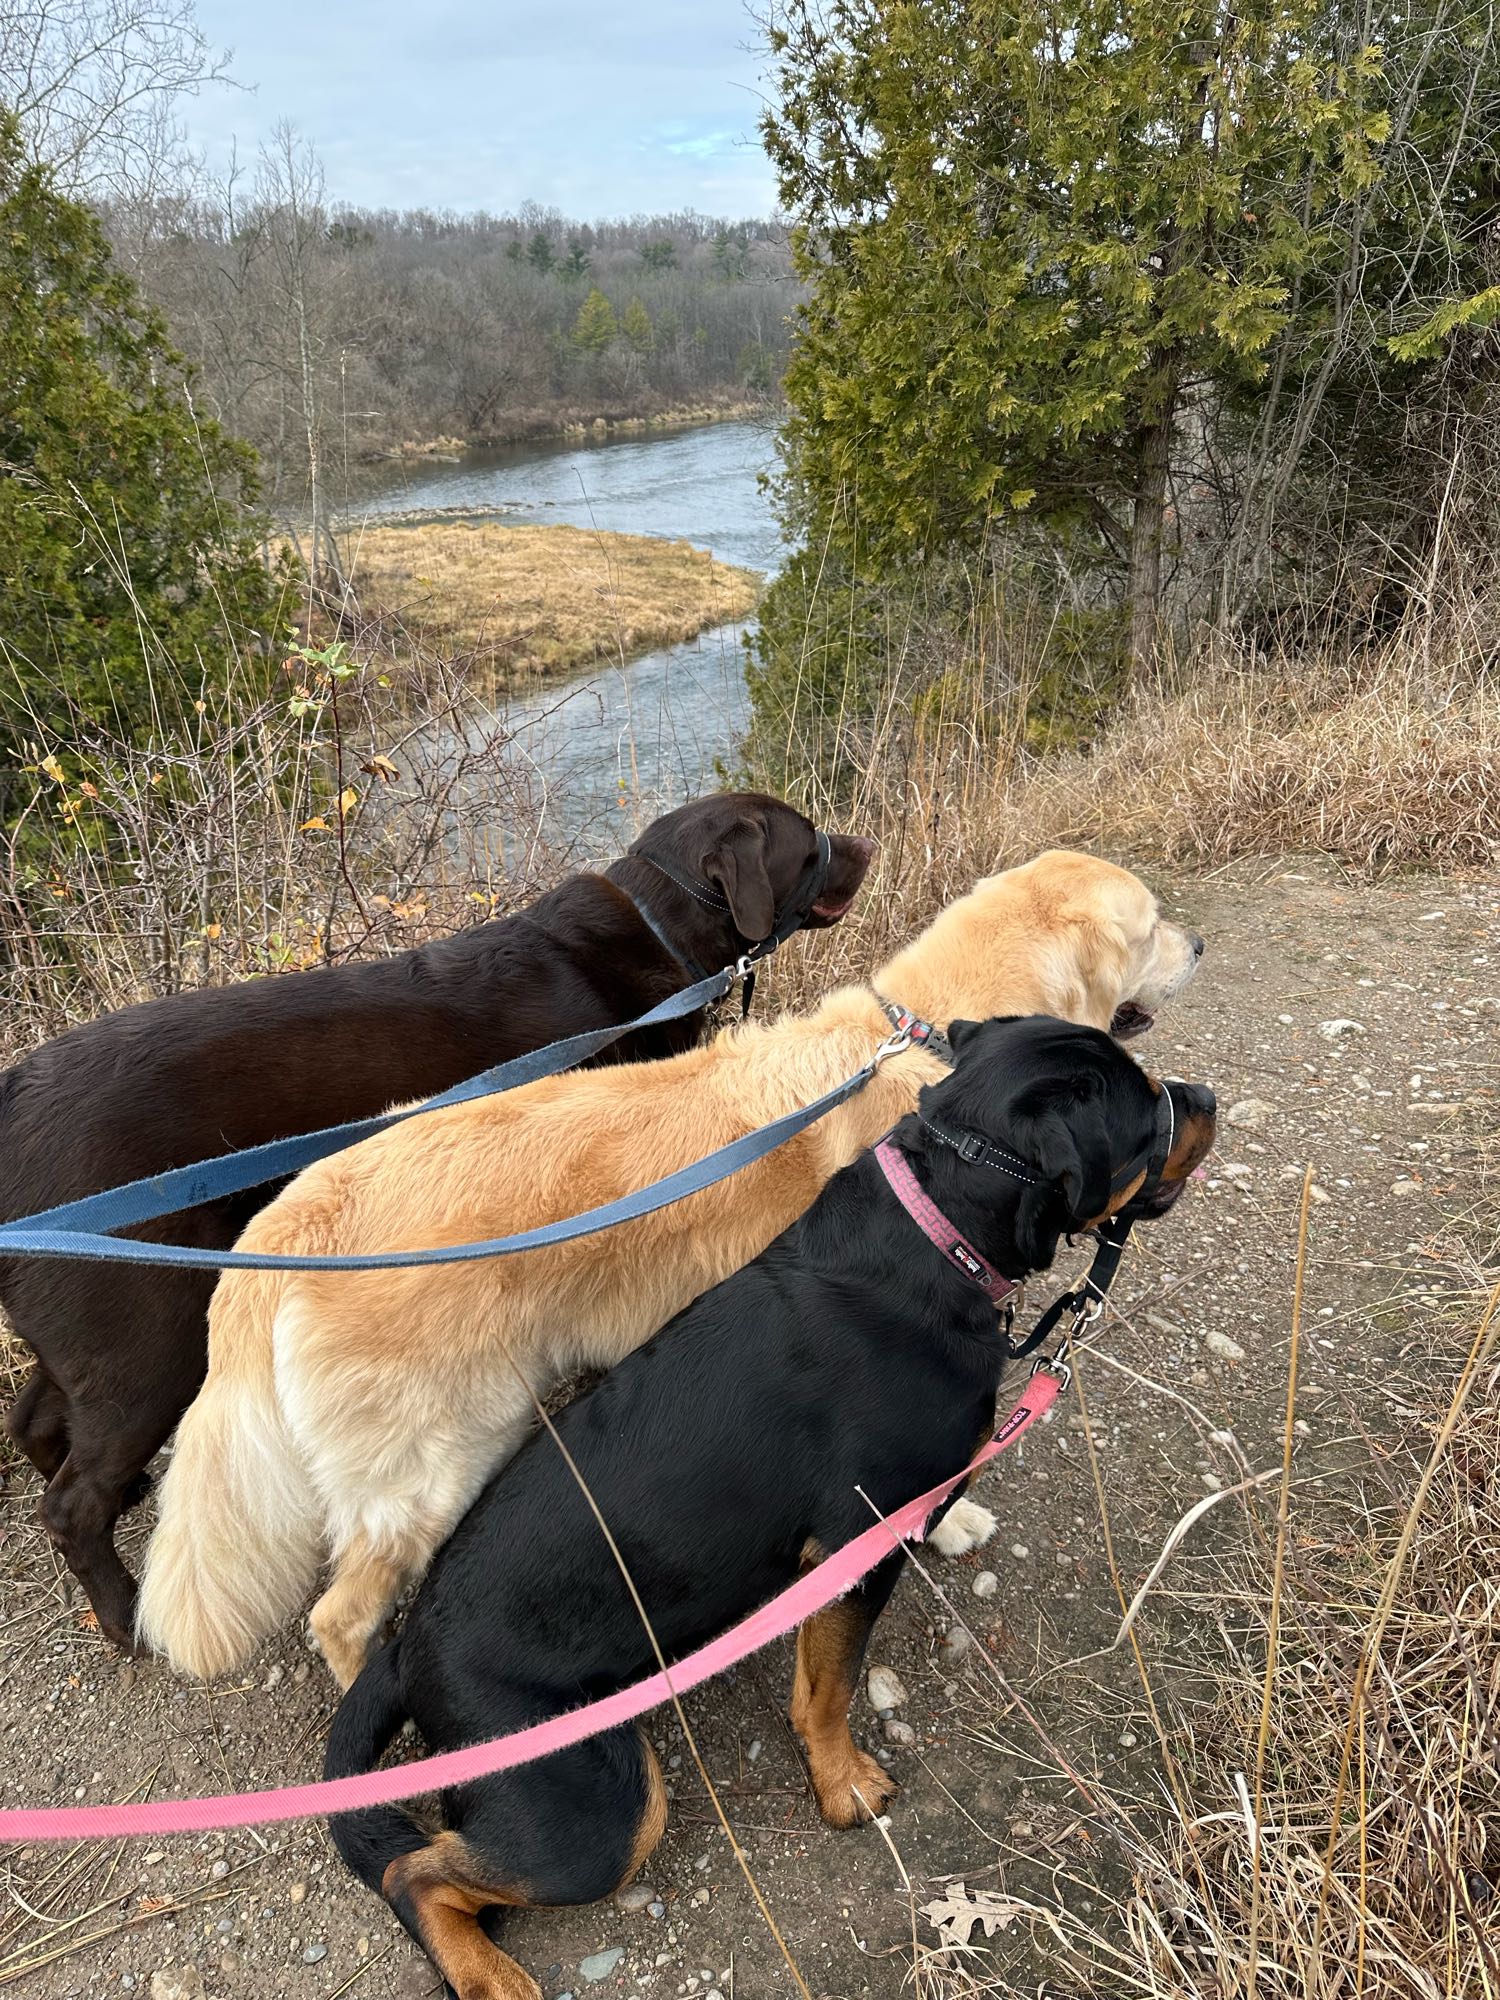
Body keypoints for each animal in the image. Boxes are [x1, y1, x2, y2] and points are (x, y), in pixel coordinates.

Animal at [0, 793, 872, 1649]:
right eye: (806, 838)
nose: (864, 846)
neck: (655, 926)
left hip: (94, 1334)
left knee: (35, 1423)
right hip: (152, 1345)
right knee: (70, 1503)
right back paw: (123, 1617)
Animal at [137, 850, 1203, 1686]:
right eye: (1153, 921)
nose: (1198, 947)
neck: (936, 1059)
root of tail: (291, 1220)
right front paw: (950, 1526)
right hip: (439, 1462)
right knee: (341, 1615)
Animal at [322, 1014, 1218, 1999]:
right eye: (1147, 1112)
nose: (1206, 1096)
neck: (936, 1234)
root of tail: (409, 1649)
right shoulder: (857, 1541)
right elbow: (829, 1688)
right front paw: (842, 1782)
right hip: (593, 1805)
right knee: (411, 1871)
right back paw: (489, 1976)